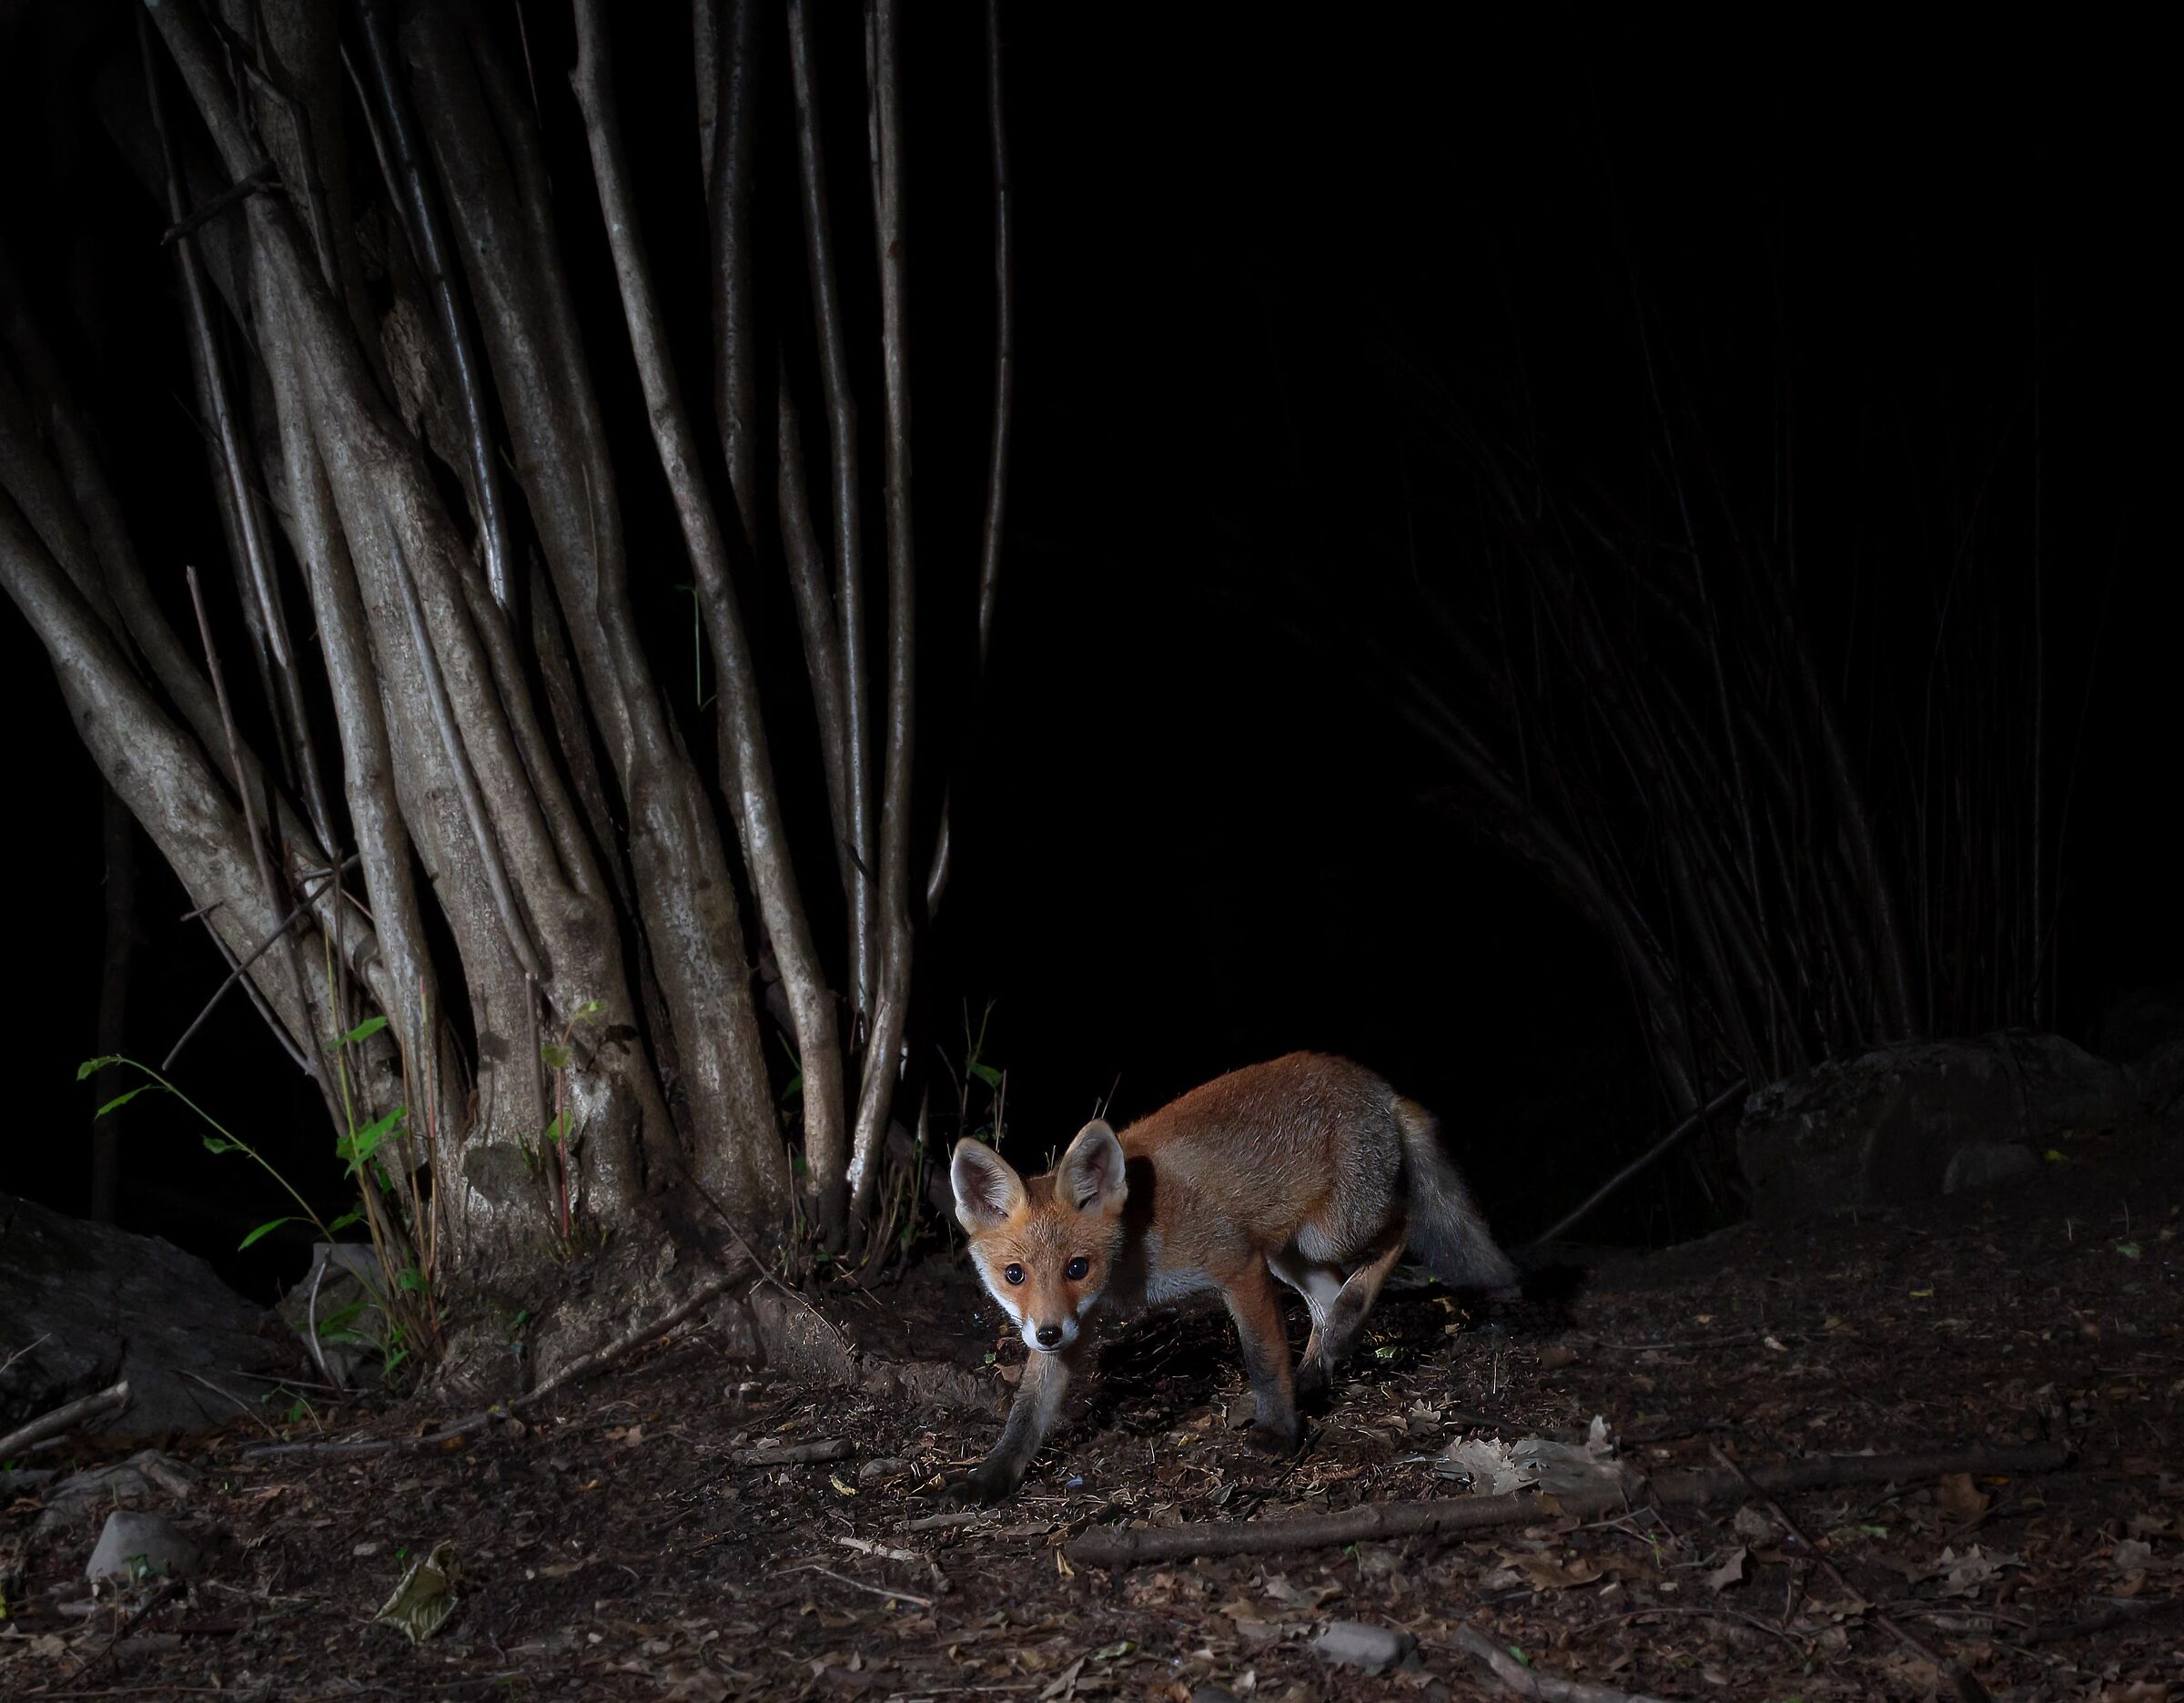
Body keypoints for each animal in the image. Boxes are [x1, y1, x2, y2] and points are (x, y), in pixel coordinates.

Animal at [946, 1052, 1516, 1503]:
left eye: (1077, 1267)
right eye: (1014, 1275)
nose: (1045, 1334)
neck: (1134, 1246)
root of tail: (1381, 1088)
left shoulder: (1238, 1265)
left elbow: (1263, 1359)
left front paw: (1280, 1433)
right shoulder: (1072, 1325)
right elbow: (1026, 1416)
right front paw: (988, 1480)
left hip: (1329, 1234)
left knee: (1400, 1229)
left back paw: (1339, 1334)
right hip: (1289, 1254)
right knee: (1330, 1300)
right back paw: (1320, 1366)